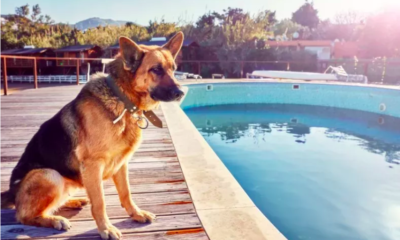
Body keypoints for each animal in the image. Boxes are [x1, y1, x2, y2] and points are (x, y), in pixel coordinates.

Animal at [1, 32, 186, 240]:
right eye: (156, 70)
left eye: (173, 69)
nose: (181, 93)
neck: (122, 98)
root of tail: (11, 192)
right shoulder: (93, 165)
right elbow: (100, 202)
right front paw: (106, 229)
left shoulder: (122, 164)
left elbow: (126, 193)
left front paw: (136, 214)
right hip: (49, 175)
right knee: (24, 216)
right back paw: (55, 220)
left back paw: (73, 202)